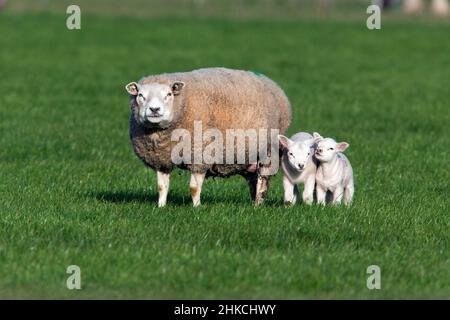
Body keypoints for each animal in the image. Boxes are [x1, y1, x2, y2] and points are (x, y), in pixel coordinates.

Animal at [124, 67, 292, 208]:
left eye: (169, 94)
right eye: (140, 95)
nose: (154, 109)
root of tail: (271, 82)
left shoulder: (200, 155)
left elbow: (193, 187)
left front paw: (196, 207)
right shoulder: (161, 160)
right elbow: (161, 187)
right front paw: (161, 207)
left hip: (267, 151)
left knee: (263, 179)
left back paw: (258, 204)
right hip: (248, 154)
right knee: (253, 180)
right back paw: (254, 202)